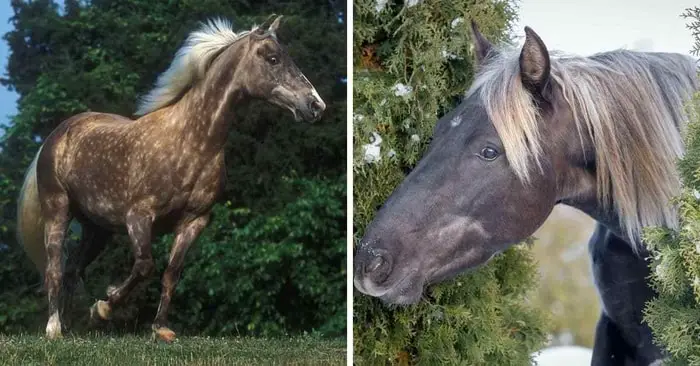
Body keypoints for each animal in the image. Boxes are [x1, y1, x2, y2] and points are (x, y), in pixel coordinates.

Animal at [13, 13, 326, 340]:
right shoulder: (138, 217)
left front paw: (160, 328)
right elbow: (145, 266)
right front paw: (104, 307)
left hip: (97, 229)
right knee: (55, 268)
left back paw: (70, 326)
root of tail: (57, 134)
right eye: (273, 58)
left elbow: (171, 273)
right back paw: (54, 328)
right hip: (58, 210)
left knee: (74, 268)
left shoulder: (194, 222)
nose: (316, 105)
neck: (192, 142)